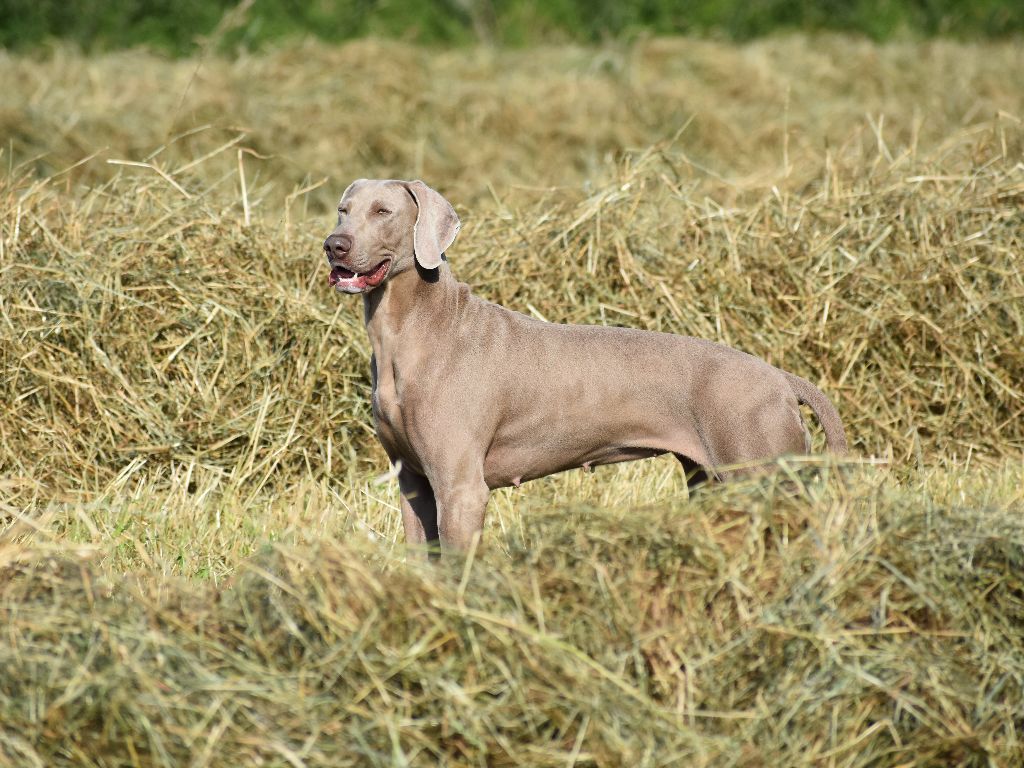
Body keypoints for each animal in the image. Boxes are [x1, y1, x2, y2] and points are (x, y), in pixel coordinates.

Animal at [321, 180, 847, 552]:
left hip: (760, 470)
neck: (410, 332)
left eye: (383, 211)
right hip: (710, 480)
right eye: (343, 209)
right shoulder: (413, 484)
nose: (334, 244)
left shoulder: (460, 487)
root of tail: (780, 378)